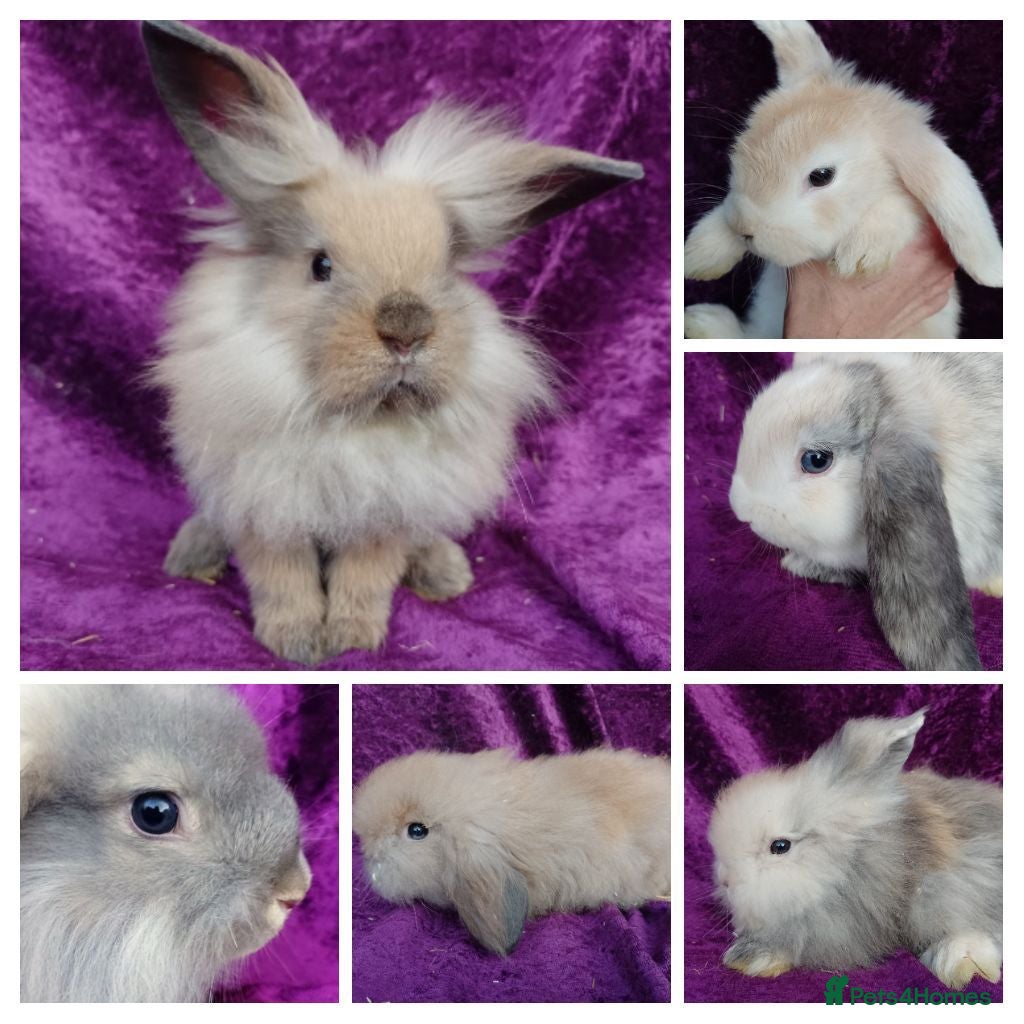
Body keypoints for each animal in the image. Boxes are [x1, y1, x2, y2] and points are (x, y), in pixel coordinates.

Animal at [140, 21, 643, 664]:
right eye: (320, 266)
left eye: (447, 265)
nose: (407, 326)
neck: (357, 423)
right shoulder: (267, 508)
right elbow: (282, 579)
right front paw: (295, 644)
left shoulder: (385, 515)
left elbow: (365, 578)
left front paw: (351, 639)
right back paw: (189, 557)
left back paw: (446, 575)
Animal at [684, 20, 1003, 339]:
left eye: (821, 176)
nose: (743, 228)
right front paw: (699, 255)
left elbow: (900, 208)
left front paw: (861, 253)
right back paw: (701, 321)